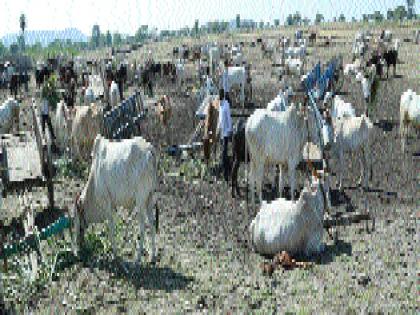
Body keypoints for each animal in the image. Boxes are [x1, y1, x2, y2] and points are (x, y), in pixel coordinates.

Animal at [71, 136, 158, 264]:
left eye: (76, 217)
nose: (77, 250)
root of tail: (149, 150)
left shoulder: (107, 204)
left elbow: (111, 230)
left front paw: (115, 255)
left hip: (140, 201)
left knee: (142, 227)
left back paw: (137, 259)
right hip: (149, 198)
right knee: (151, 224)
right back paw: (152, 256)